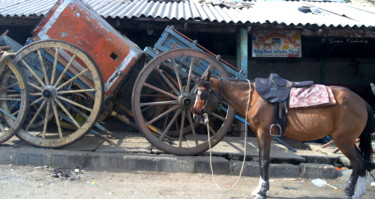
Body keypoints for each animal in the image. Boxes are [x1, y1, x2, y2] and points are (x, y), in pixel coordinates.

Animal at [192, 73, 374, 199]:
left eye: (202, 94)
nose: (194, 112)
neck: (255, 98)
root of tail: (362, 102)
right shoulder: (260, 134)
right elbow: (262, 160)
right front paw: (260, 189)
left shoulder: (264, 133)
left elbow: (264, 161)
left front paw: (262, 191)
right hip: (348, 141)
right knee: (361, 162)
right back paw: (359, 192)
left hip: (343, 140)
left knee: (357, 163)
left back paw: (349, 192)